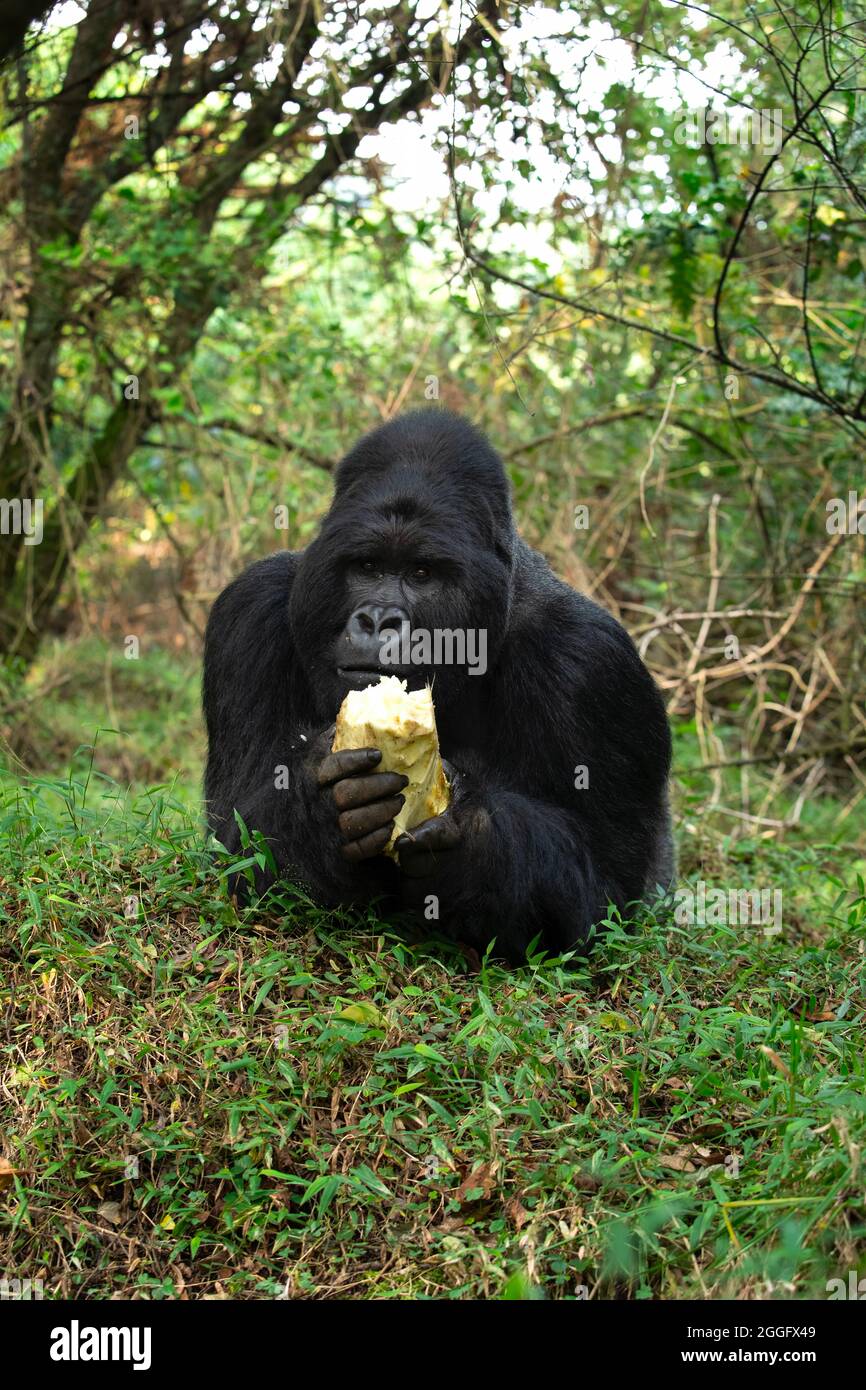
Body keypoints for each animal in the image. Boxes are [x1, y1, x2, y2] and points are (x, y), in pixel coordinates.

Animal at [204, 405, 678, 961]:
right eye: (367, 566)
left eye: (422, 573)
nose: (379, 620)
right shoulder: (249, 610)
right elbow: (234, 845)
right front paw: (320, 806)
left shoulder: (590, 660)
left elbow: (603, 897)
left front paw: (471, 830)